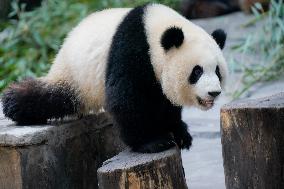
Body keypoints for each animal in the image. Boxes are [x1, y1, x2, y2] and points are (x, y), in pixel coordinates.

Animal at [0, 3, 226, 153]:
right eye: (196, 71)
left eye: (217, 71)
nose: (214, 92)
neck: (154, 30)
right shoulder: (132, 48)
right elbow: (125, 99)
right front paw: (153, 142)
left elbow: (165, 103)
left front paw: (179, 134)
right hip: (77, 75)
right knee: (53, 96)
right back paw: (14, 104)